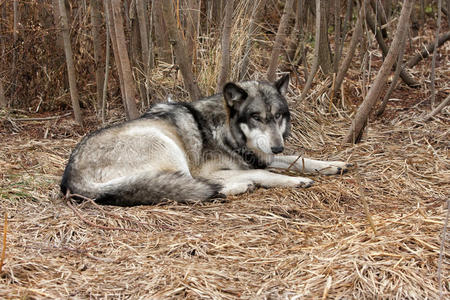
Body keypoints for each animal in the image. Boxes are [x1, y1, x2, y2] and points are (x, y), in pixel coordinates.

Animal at [59, 75, 350, 206]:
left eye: (278, 116)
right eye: (256, 117)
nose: (278, 145)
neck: (228, 132)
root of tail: (70, 178)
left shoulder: (262, 156)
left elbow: (299, 158)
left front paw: (332, 165)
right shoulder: (212, 169)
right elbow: (266, 173)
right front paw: (296, 180)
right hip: (167, 146)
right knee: (197, 188)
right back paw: (240, 186)